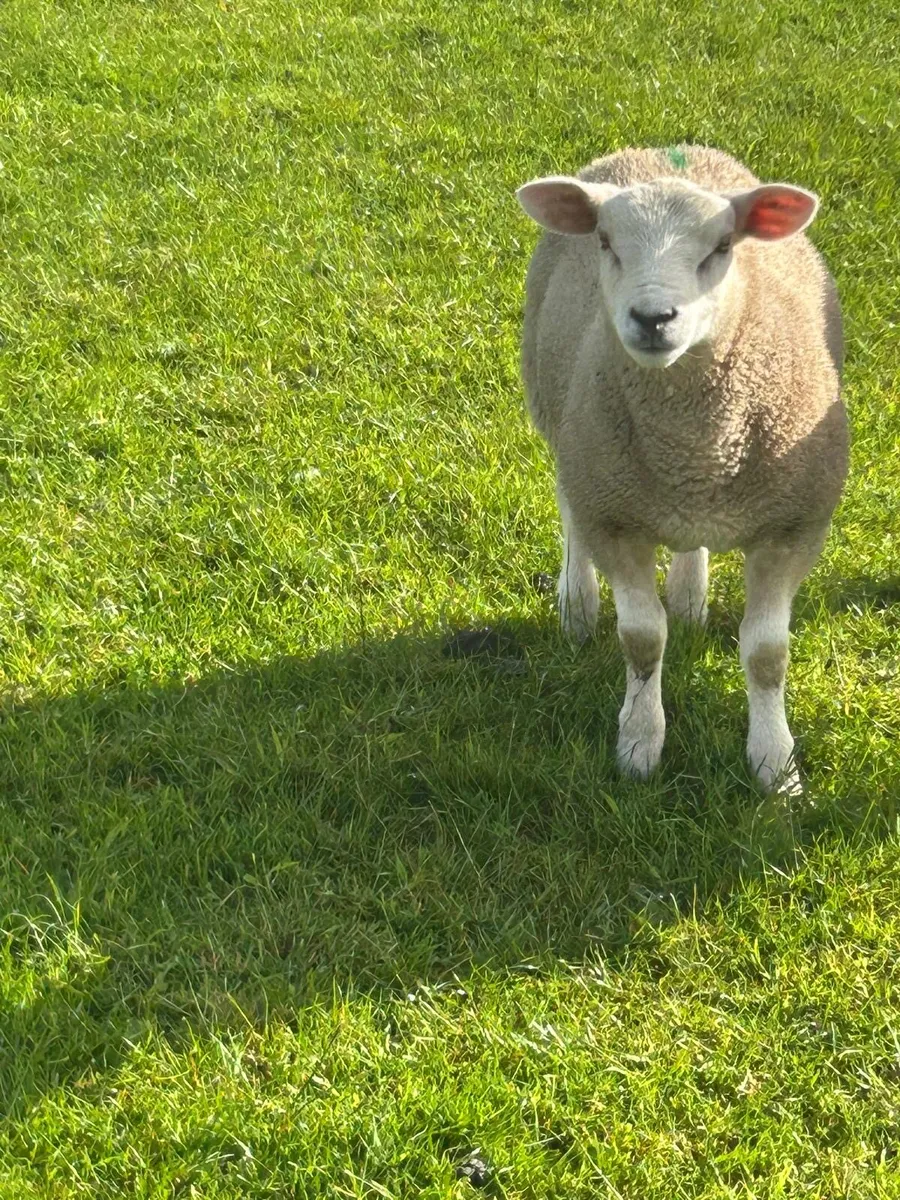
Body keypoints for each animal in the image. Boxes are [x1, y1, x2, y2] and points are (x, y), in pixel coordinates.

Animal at [517, 145, 848, 792]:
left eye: (722, 245)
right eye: (605, 240)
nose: (652, 316)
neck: (696, 445)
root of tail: (660, 149)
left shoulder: (795, 524)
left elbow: (766, 655)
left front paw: (775, 767)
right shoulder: (614, 514)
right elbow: (643, 640)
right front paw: (639, 745)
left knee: (690, 542)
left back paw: (690, 595)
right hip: (562, 419)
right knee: (569, 504)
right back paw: (577, 605)